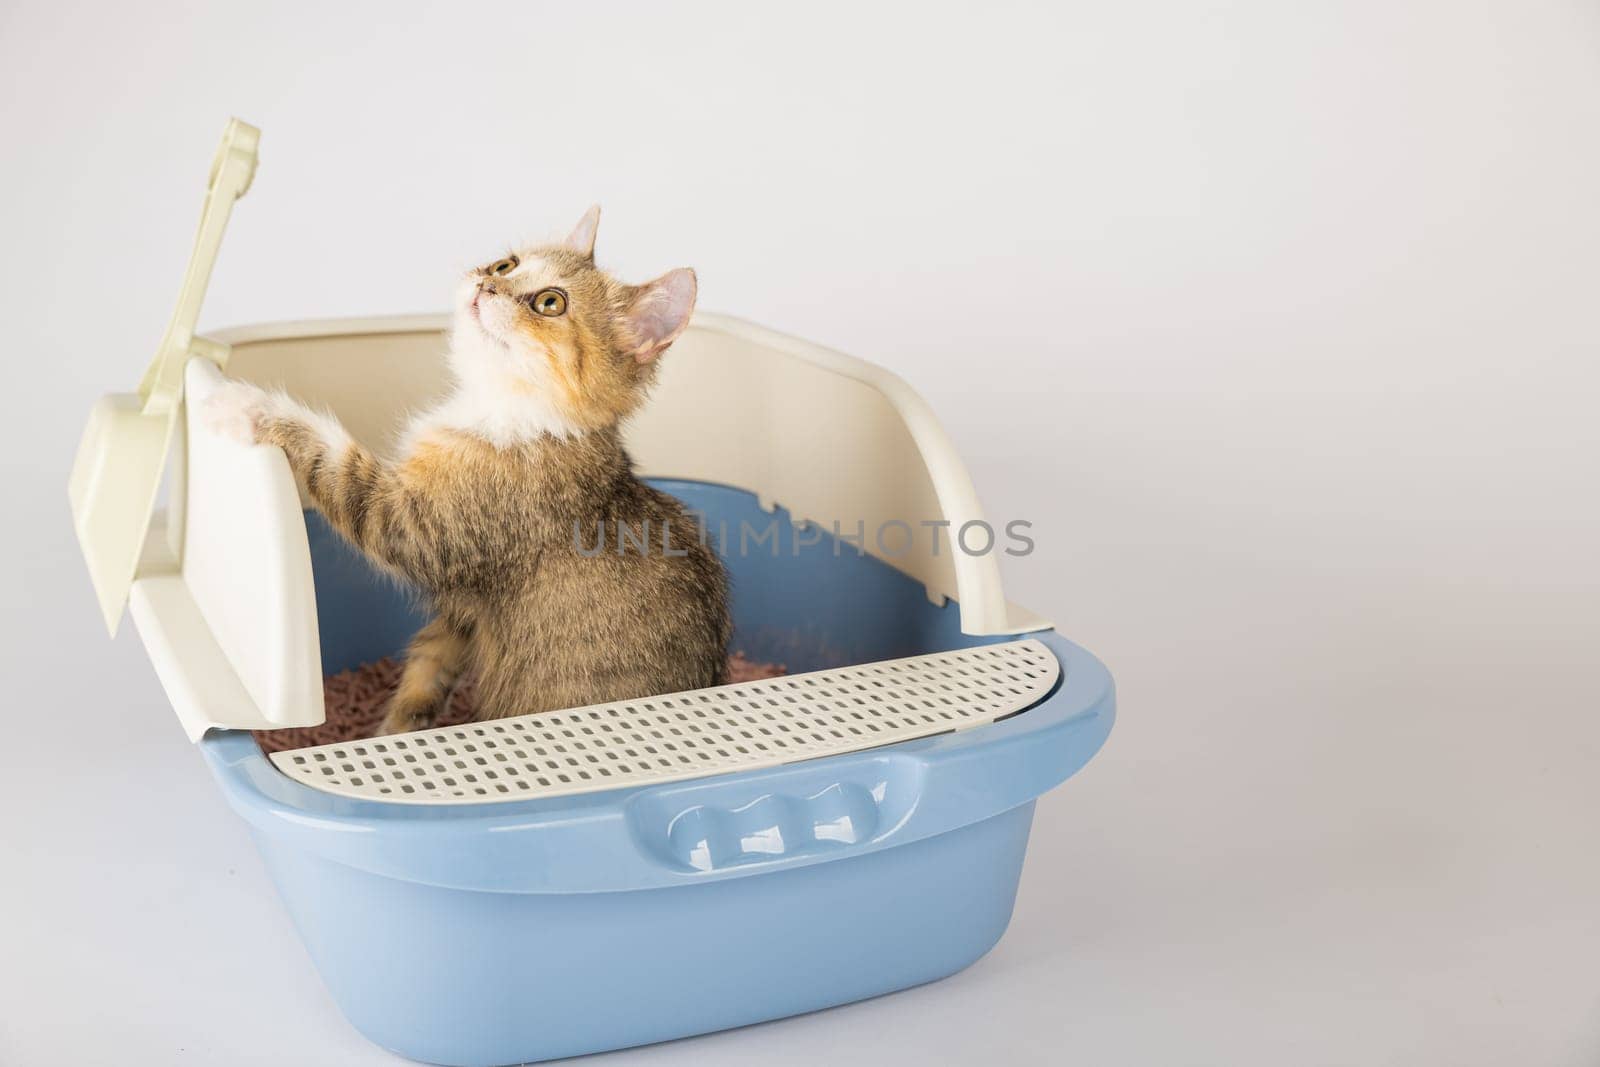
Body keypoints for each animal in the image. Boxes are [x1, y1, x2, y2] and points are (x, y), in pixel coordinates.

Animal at [209, 206, 732, 735]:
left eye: (550, 302)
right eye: (506, 264)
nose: (486, 284)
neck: (508, 409)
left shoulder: (414, 524)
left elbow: (335, 458)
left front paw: (249, 405)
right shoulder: (460, 616)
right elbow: (428, 668)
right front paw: (395, 731)